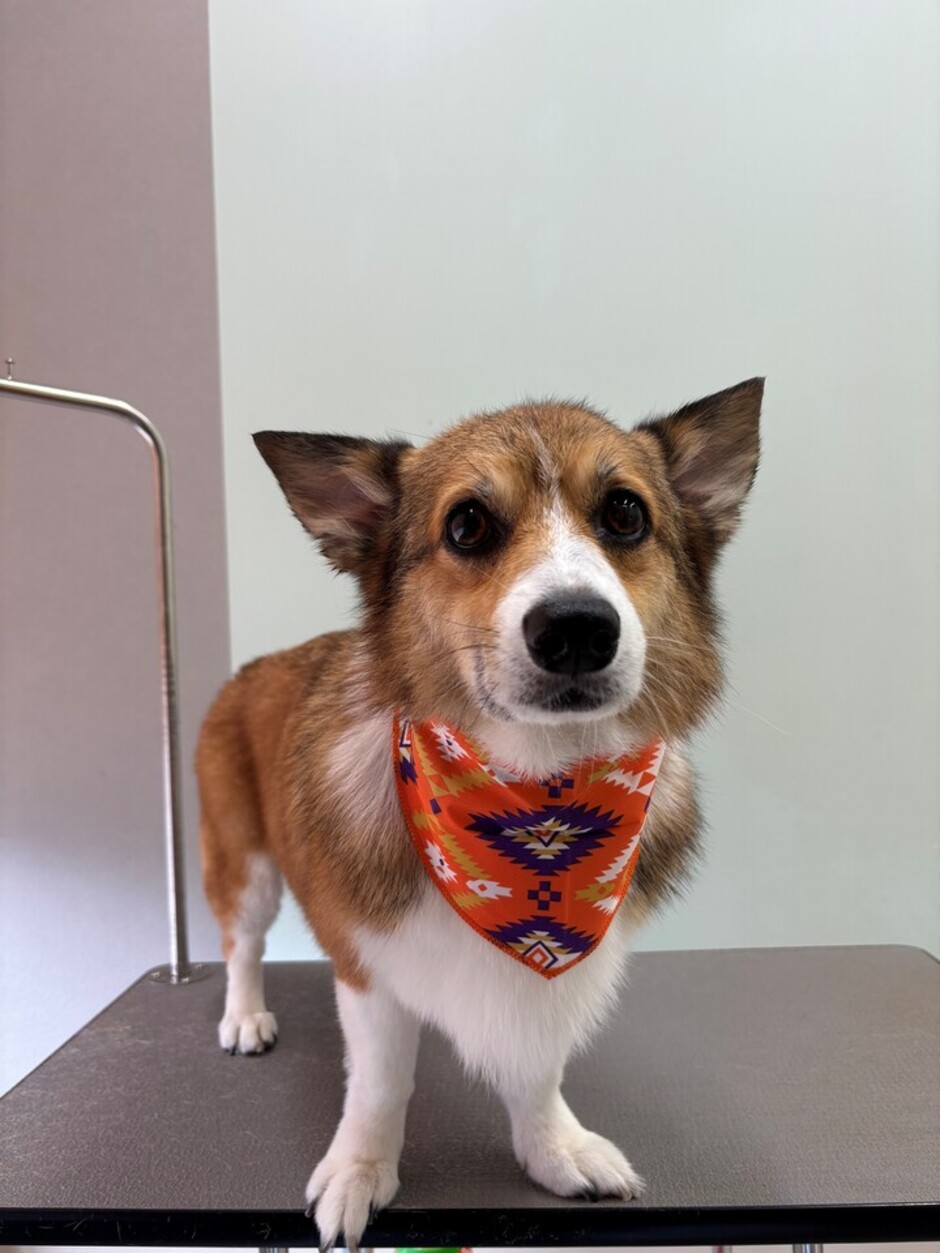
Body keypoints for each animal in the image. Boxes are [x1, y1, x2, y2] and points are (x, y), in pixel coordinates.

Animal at [196, 378, 762, 1248]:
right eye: (467, 524)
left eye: (625, 513)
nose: (576, 628)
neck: (536, 798)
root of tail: (257, 664)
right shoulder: (368, 966)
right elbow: (379, 1085)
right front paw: (361, 1169)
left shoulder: (554, 977)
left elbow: (538, 1069)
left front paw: (553, 1148)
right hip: (246, 867)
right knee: (241, 945)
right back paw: (246, 1015)